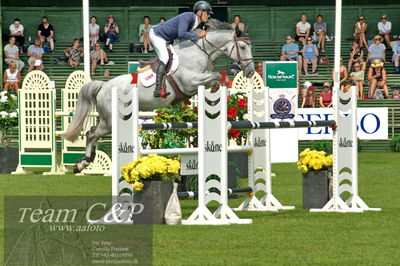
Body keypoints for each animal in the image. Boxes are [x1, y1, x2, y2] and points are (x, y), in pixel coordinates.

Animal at [62, 18, 256, 172]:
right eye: (242, 46)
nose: (251, 71)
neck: (201, 52)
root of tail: (103, 86)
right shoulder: (190, 82)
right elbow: (215, 76)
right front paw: (217, 91)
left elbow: (218, 78)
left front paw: (217, 92)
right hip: (111, 120)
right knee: (91, 134)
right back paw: (82, 164)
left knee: (92, 133)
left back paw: (84, 162)